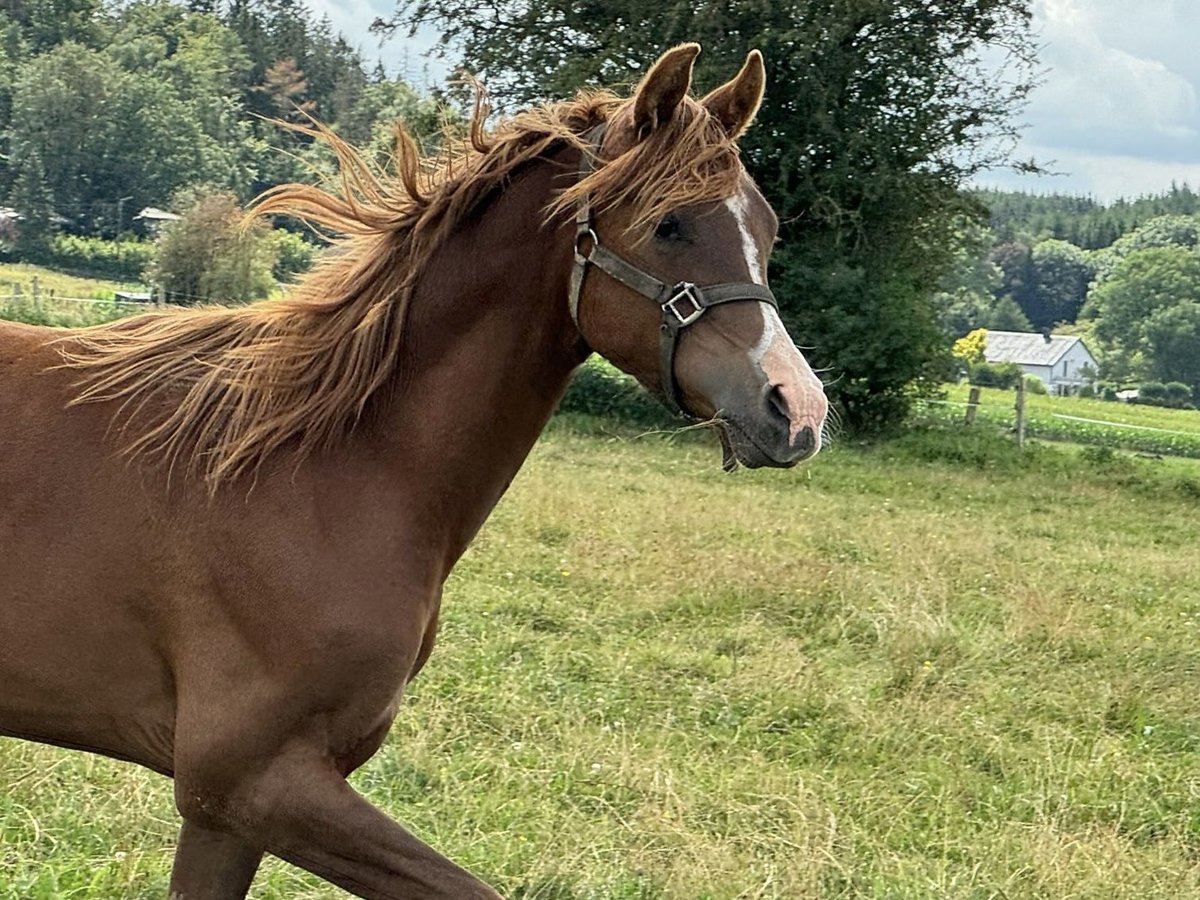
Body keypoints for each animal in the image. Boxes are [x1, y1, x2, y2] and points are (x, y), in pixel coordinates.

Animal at [0, 44, 825, 900]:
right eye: (670, 224)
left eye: (765, 228)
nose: (797, 410)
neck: (324, 469)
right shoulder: (247, 780)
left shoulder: (225, 813)